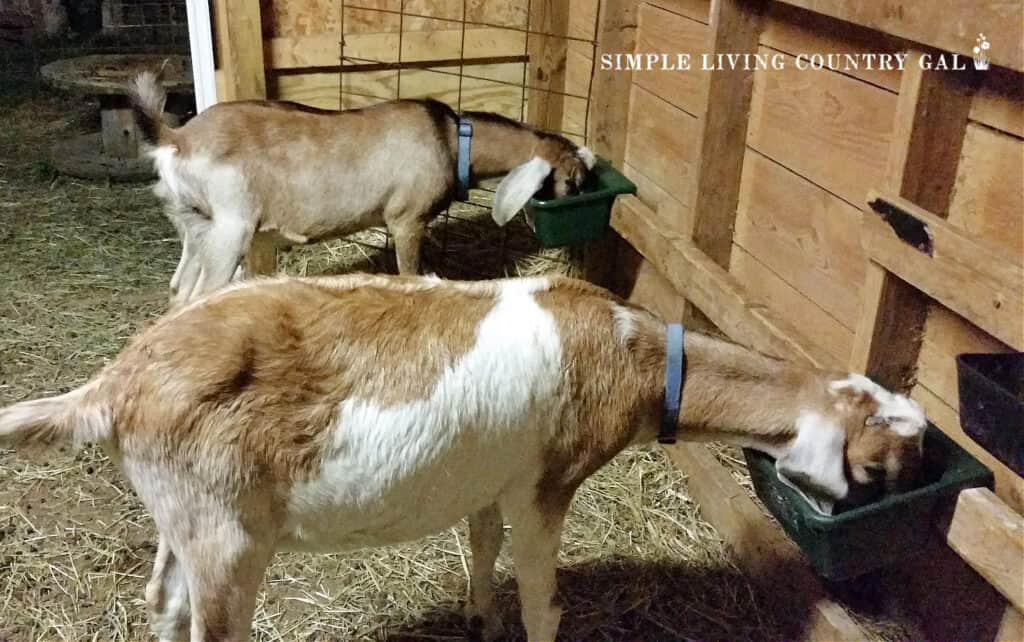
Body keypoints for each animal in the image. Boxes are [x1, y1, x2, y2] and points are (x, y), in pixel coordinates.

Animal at [0, 274, 929, 642]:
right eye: (884, 464)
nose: (879, 587)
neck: (630, 348)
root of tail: (117, 381)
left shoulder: (494, 476)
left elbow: (482, 551)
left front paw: (479, 618)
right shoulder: (547, 483)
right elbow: (545, 604)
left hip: (185, 513)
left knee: (163, 599)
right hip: (228, 538)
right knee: (208, 623)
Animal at [132, 74, 598, 305]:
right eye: (573, 180)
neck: (450, 138)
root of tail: (178, 138)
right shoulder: (406, 218)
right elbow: (410, 273)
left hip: (195, 226)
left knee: (179, 289)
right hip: (231, 227)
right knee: (200, 293)